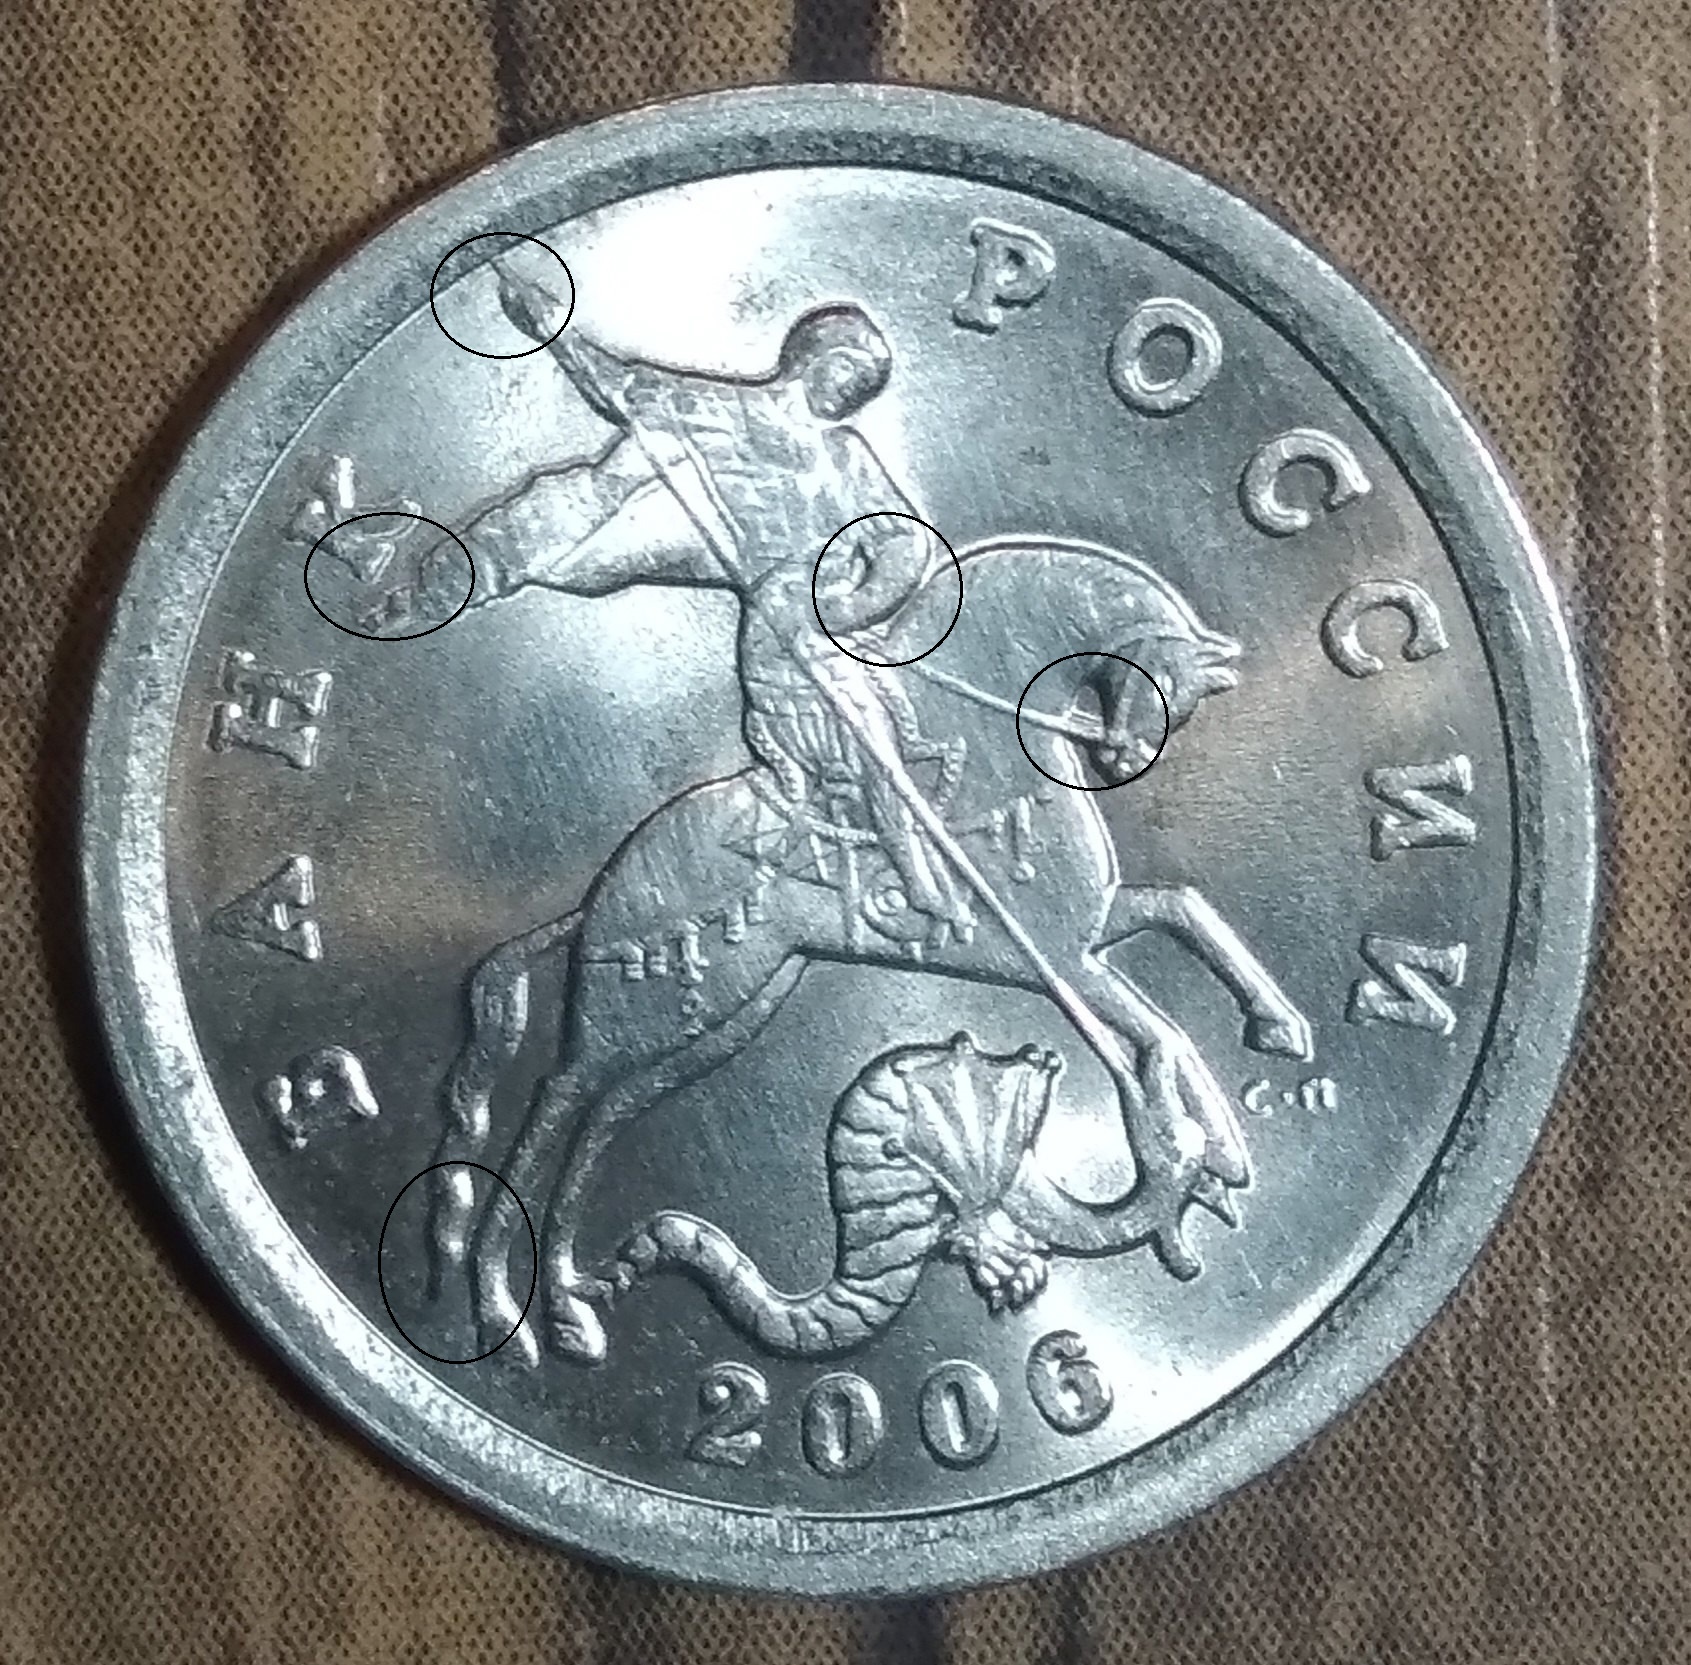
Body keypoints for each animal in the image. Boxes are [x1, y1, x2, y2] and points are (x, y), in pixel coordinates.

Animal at [426, 533, 1311, 1365]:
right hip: (636, 1018)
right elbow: (1159, 1032)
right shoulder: (1061, 959)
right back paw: (505, 1306)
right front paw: (1207, 1148)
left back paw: (569, 1304)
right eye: (1161, 680)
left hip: (722, 1016)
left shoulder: (1084, 936)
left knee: (602, 1119)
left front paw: (1266, 1048)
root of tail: (599, 896)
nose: (1122, 759)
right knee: (554, 1104)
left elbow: (1181, 915)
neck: (993, 750)